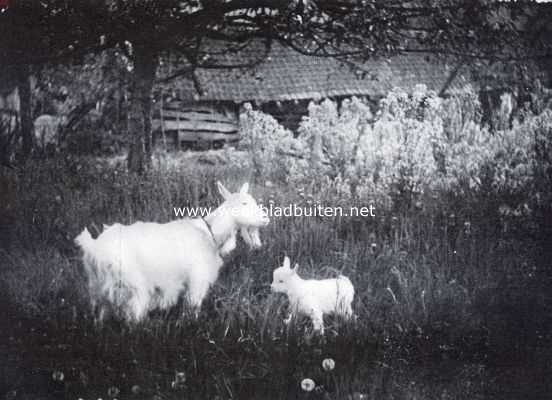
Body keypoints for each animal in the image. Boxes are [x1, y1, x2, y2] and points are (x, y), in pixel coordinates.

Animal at [75, 183, 270, 320]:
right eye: (244, 203)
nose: (266, 219)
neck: (210, 233)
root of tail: (94, 247)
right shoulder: (197, 279)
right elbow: (194, 307)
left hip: (99, 289)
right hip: (133, 287)